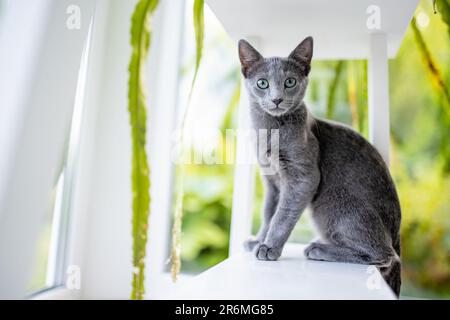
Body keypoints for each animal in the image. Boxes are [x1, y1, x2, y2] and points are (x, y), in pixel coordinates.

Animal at [241, 37, 402, 296]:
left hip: (331, 206)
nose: (276, 99)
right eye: (262, 83)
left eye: (290, 82)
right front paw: (259, 240)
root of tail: (397, 234)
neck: (269, 132)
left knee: (385, 255)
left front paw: (269, 247)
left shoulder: (303, 177)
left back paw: (319, 248)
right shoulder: (272, 182)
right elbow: (268, 213)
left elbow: (282, 215)